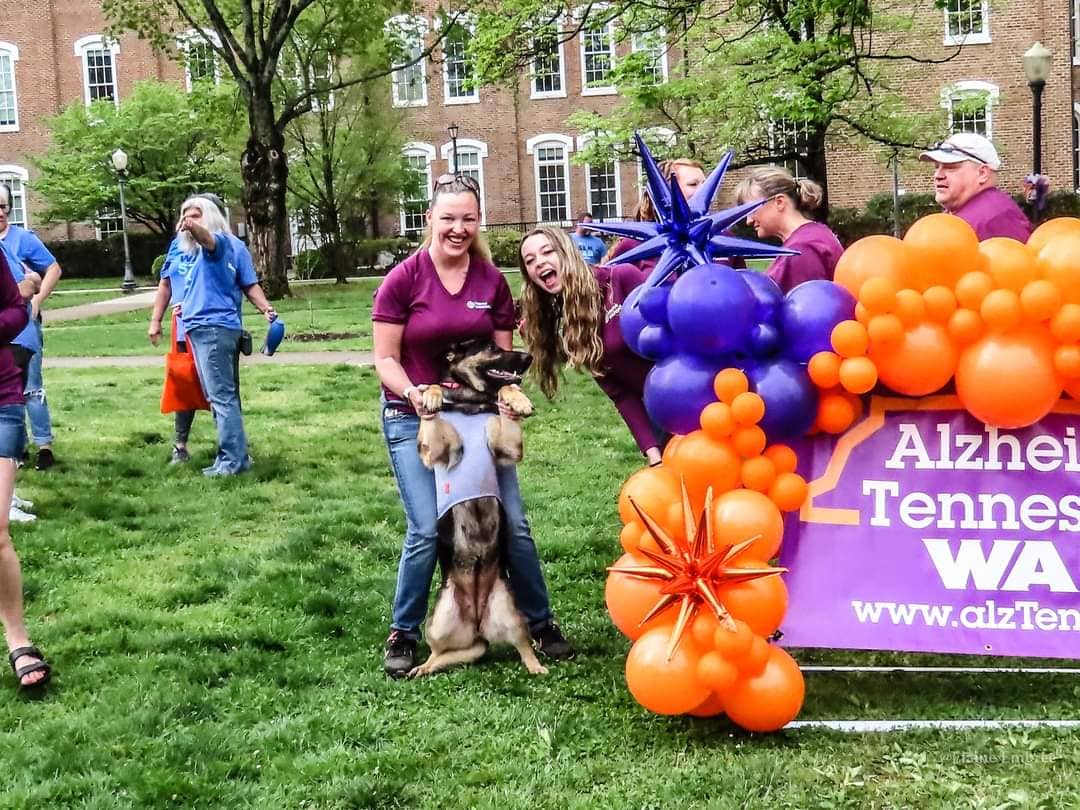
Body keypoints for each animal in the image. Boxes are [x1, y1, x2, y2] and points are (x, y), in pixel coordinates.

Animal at [406, 336, 548, 678]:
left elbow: (503, 390)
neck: (469, 403)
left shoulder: (508, 448)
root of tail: (478, 621)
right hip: (439, 622)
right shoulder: (435, 451)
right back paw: (421, 668)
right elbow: (434, 391)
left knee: (520, 646)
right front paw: (431, 395)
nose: (528, 357)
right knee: (440, 652)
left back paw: (536, 667)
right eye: (492, 348)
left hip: (511, 613)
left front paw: (518, 400)